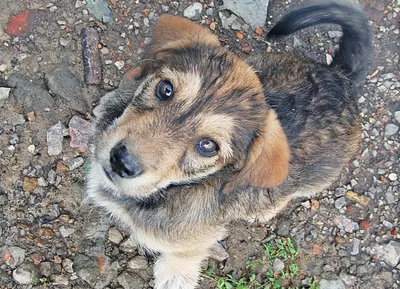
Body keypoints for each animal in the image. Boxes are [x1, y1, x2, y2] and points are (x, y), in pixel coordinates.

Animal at [84, 1, 372, 286]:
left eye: (208, 146)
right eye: (165, 89)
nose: (121, 161)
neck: (172, 190)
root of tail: (342, 76)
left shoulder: (187, 248)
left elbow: (179, 263)